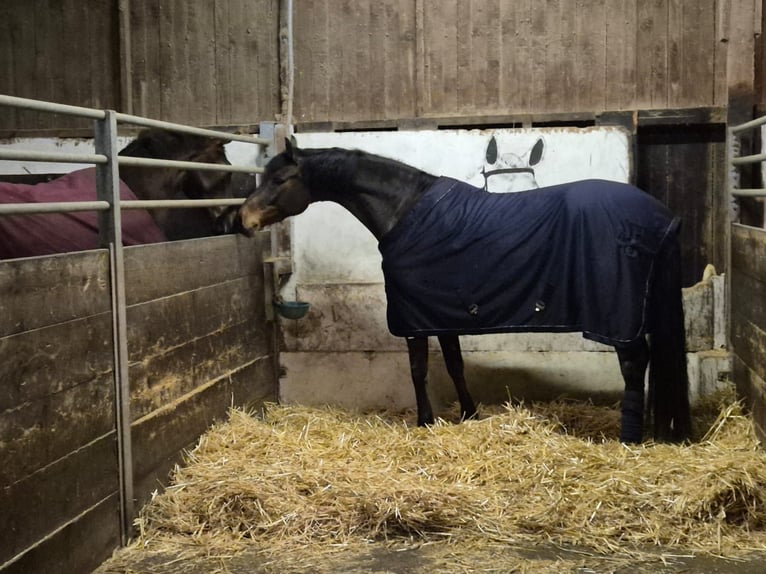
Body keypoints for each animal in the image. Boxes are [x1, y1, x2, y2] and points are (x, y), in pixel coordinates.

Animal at [237, 140, 692, 444]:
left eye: (280, 178)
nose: (244, 218)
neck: (406, 210)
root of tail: (660, 216)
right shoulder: (441, 313)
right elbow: (455, 365)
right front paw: (470, 415)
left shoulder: (414, 319)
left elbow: (418, 369)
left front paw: (425, 422)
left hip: (618, 317)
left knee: (634, 364)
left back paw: (629, 439)